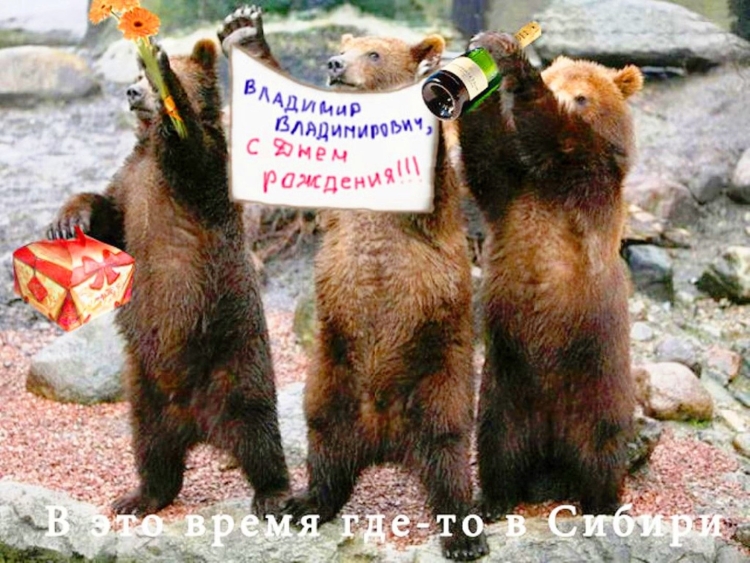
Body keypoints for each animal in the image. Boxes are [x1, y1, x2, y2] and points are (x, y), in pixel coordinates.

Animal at [47, 39, 290, 517]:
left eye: (148, 78)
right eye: (136, 76)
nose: (132, 92)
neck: (148, 149)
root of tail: (197, 423)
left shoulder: (201, 178)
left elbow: (190, 145)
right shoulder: (130, 182)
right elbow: (108, 216)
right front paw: (67, 220)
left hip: (235, 362)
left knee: (256, 432)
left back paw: (273, 492)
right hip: (145, 389)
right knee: (151, 447)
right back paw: (139, 496)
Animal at [219, 7, 488, 560]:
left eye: (375, 52)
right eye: (348, 47)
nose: (335, 63)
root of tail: (385, 439)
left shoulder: (431, 212)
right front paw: (243, 29)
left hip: (439, 375)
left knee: (448, 450)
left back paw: (463, 533)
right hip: (331, 377)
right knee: (326, 447)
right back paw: (303, 503)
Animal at [457, 31, 643, 518]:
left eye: (582, 96)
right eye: (558, 79)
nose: (562, 93)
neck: (545, 181)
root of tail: (552, 444)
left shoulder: (590, 183)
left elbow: (561, 136)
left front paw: (512, 61)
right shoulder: (513, 191)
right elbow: (485, 154)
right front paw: (477, 74)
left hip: (597, 385)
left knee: (602, 451)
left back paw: (602, 503)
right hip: (504, 391)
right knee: (498, 448)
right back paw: (493, 499)